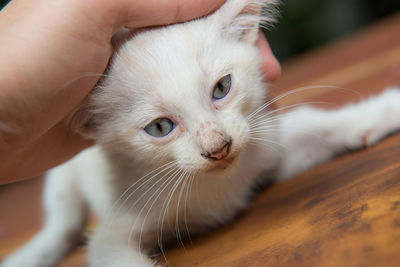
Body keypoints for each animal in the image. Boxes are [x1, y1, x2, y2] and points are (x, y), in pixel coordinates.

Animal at [3, 0, 400, 267]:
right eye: (160, 127)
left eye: (222, 88)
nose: (218, 148)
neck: (216, 186)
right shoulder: (113, 233)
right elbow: (108, 249)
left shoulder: (264, 145)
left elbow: (315, 126)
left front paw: (382, 112)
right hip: (64, 173)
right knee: (64, 221)